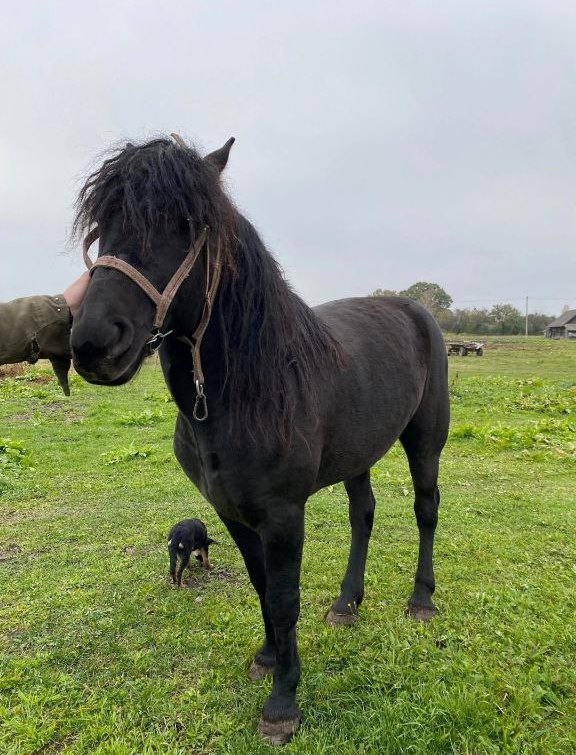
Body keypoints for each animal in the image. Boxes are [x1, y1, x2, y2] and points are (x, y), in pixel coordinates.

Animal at [71, 136, 450, 744]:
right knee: (363, 513)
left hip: (425, 442)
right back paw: (347, 602)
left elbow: (283, 596)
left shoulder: (283, 515)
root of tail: (416, 311)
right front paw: (269, 658)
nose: (93, 342)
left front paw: (282, 703)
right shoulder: (231, 512)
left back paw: (420, 601)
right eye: (102, 222)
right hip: (359, 454)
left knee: (426, 509)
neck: (250, 389)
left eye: (186, 222)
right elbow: (258, 585)